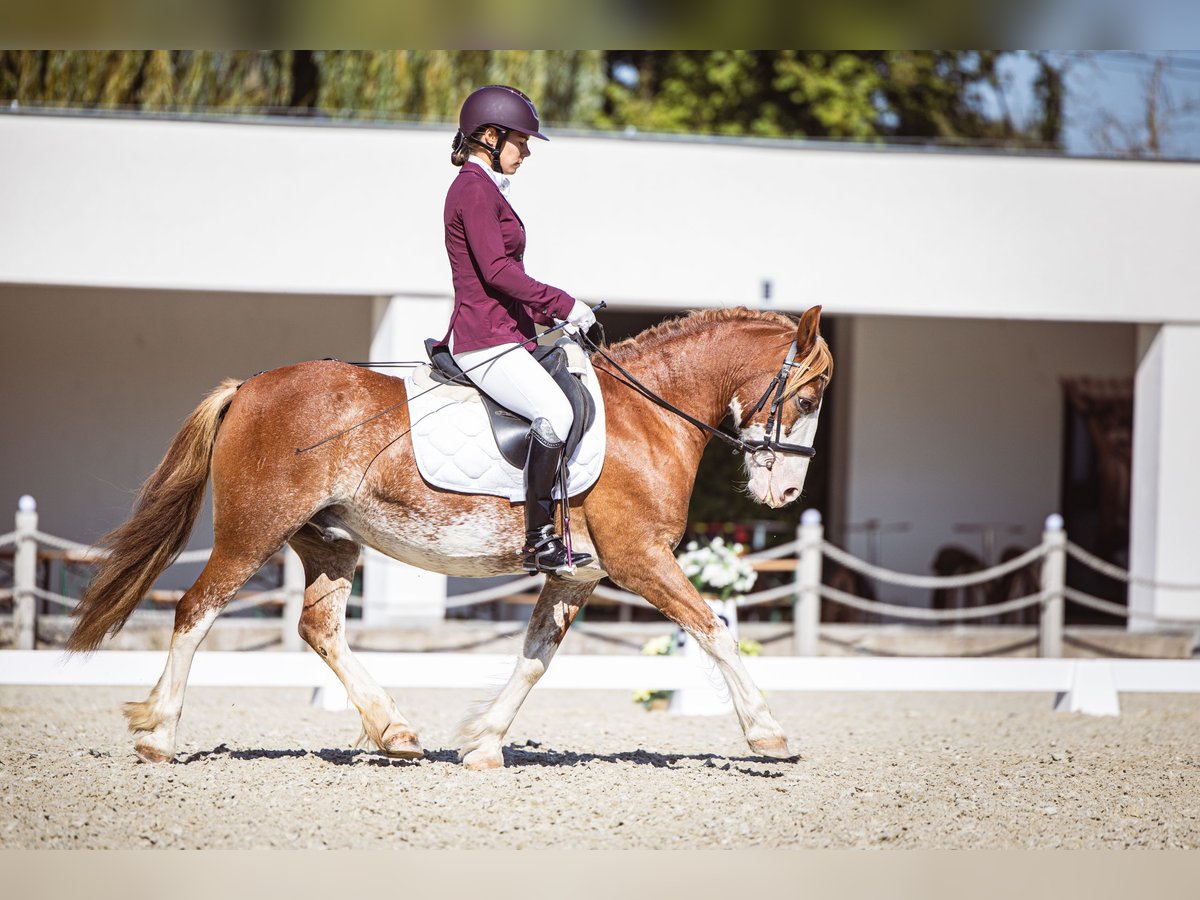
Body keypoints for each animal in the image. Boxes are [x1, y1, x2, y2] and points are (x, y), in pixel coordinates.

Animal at [68, 307, 835, 772]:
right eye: (808, 395)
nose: (786, 497)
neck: (648, 416)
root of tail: (249, 387)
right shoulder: (640, 558)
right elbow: (715, 630)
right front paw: (768, 733)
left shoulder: (576, 573)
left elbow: (534, 660)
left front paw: (484, 745)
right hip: (253, 532)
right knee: (194, 611)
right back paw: (159, 734)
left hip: (330, 541)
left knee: (320, 628)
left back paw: (396, 734)